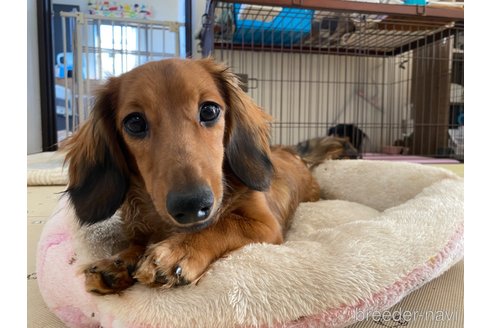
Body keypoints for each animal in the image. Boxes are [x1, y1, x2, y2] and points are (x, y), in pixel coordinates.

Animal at [63, 58, 320, 294]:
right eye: (134, 122)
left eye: (209, 110)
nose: (191, 205)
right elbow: (137, 244)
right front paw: (118, 262)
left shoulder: (267, 225)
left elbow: (225, 224)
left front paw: (178, 251)